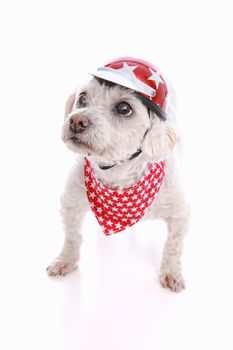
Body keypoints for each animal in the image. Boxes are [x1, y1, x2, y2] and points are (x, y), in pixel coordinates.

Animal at [46, 57, 189, 292]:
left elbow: (173, 246)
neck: (117, 172)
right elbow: (72, 237)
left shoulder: (180, 214)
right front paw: (65, 260)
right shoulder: (70, 203)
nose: (76, 121)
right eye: (82, 97)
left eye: (124, 108)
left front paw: (171, 273)